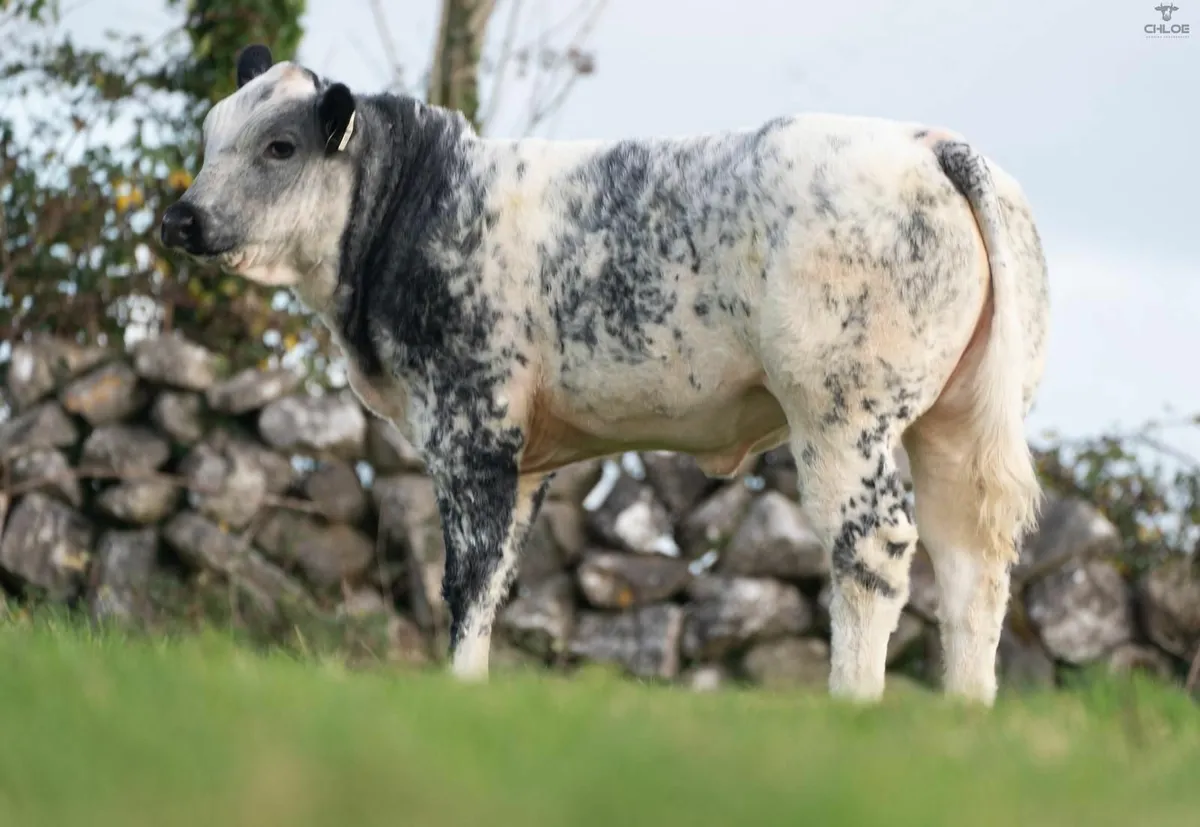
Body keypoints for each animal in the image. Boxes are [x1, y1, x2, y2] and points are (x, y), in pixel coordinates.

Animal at [160, 43, 1051, 706]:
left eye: (280, 146)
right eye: (209, 138)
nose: (181, 217)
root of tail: (928, 144)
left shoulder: (470, 420)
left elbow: (467, 577)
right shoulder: (522, 456)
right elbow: (500, 575)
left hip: (842, 413)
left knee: (875, 550)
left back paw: (854, 704)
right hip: (957, 422)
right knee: (972, 563)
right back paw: (965, 712)